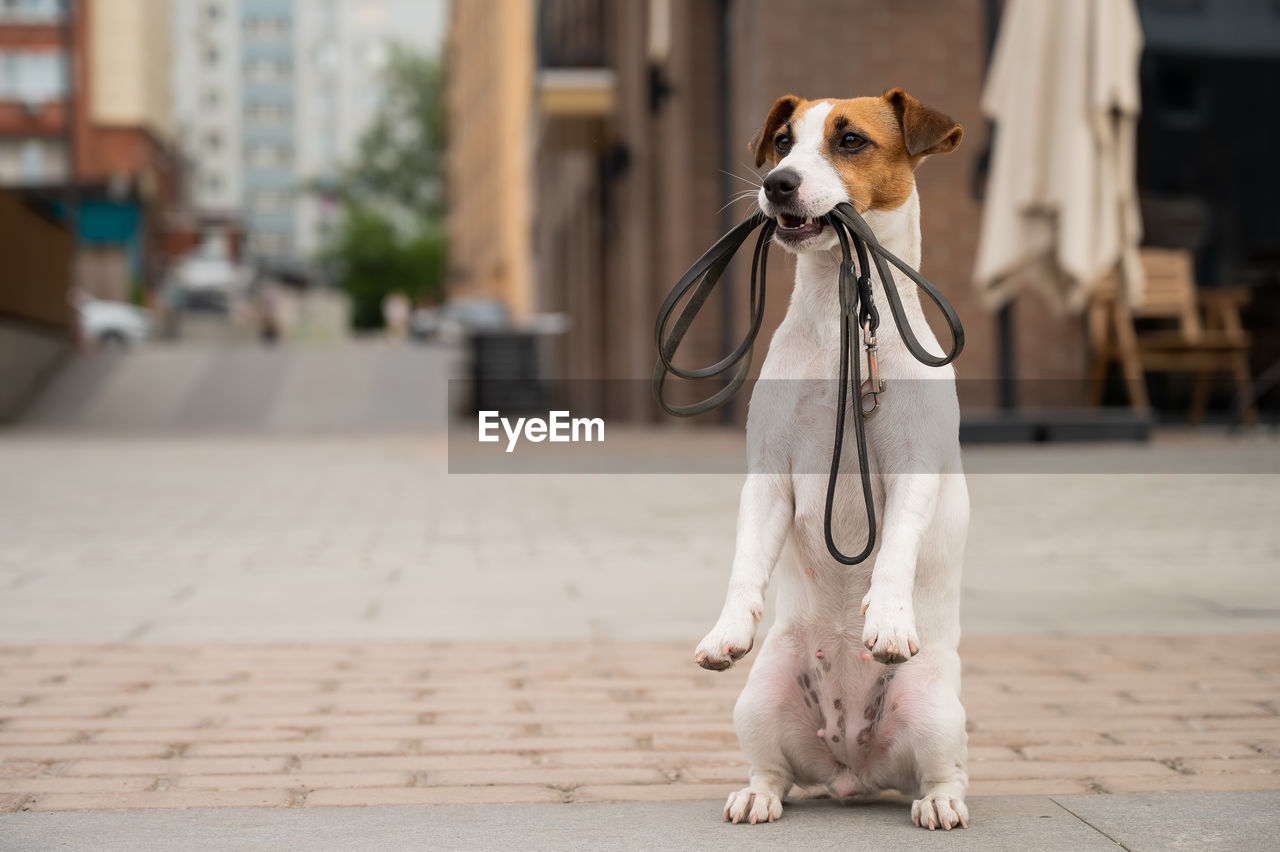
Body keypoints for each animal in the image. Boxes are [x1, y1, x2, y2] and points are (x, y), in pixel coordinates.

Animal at [696, 89, 972, 823]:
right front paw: (726, 629)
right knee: (774, 770)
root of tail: (854, 770)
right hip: (760, 700)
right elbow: (742, 562)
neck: (838, 330)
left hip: (938, 711)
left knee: (944, 772)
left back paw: (940, 804)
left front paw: (888, 618)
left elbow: (896, 546)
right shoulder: (769, 477)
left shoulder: (912, 470)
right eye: (783, 142)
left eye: (850, 140)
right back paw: (755, 796)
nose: (776, 183)